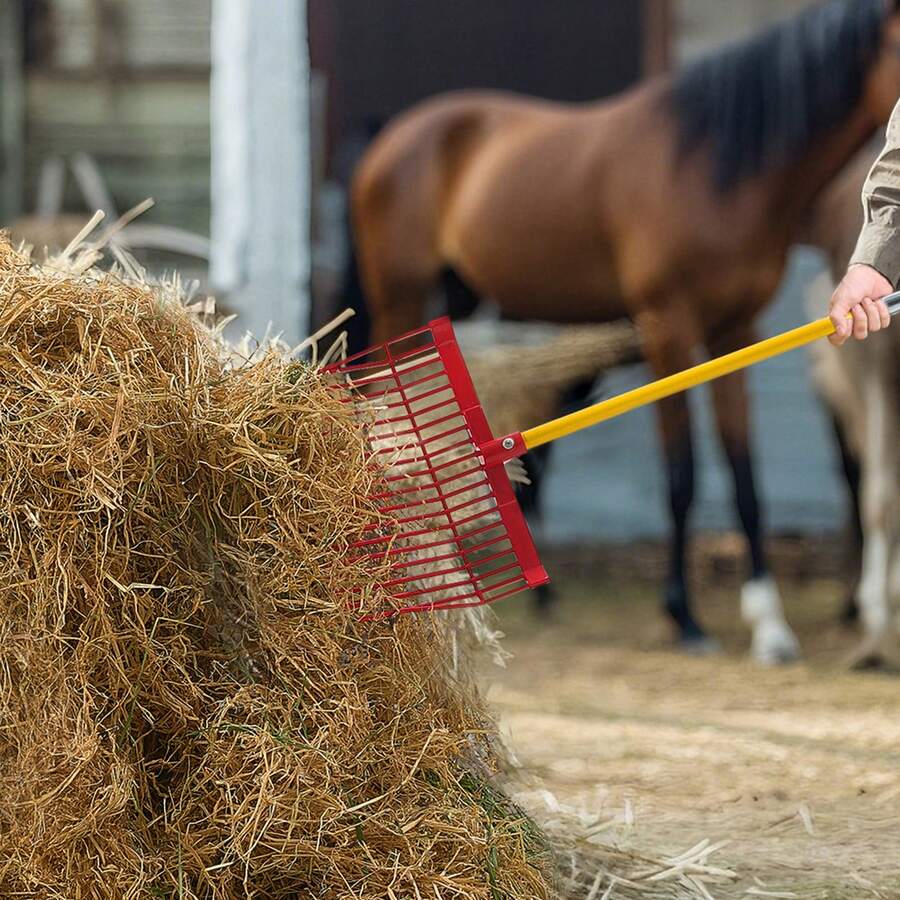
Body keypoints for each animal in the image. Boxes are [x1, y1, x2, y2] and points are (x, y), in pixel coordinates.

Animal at [351, 0, 900, 662]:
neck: (713, 167)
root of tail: (394, 135)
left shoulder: (734, 331)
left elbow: (744, 477)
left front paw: (770, 625)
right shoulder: (667, 329)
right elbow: (682, 475)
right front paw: (685, 618)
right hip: (401, 298)